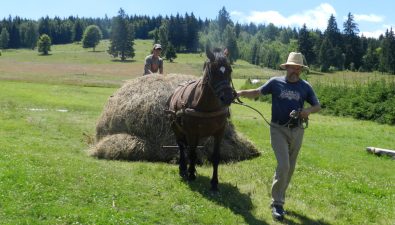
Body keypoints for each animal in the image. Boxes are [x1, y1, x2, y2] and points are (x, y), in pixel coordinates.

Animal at [166, 48, 237, 191]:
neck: (207, 106)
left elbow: (215, 157)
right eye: (212, 71)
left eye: (230, 70)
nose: (227, 98)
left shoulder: (219, 132)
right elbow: (192, 153)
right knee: (182, 147)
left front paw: (214, 183)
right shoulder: (191, 132)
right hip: (177, 129)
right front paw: (191, 174)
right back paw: (183, 168)